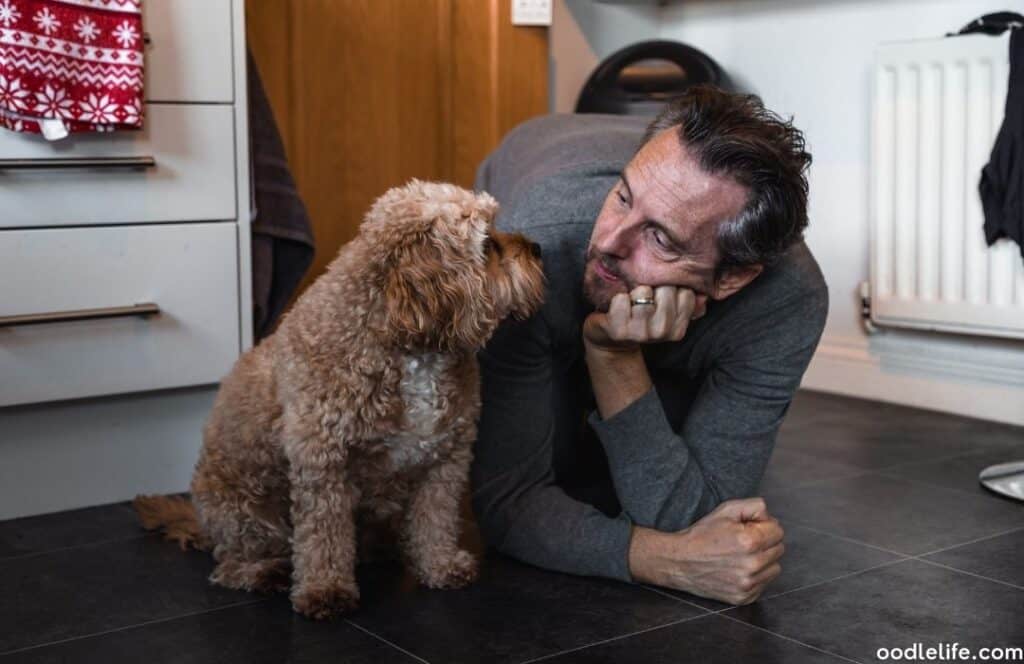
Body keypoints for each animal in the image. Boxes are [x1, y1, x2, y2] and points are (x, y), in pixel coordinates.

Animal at [139, 180, 548, 618]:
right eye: (487, 243)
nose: (539, 248)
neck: (411, 346)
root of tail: (204, 524)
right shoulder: (323, 461)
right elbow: (324, 537)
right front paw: (326, 590)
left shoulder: (445, 459)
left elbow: (435, 518)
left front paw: (440, 564)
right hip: (245, 513)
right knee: (231, 563)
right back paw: (262, 571)